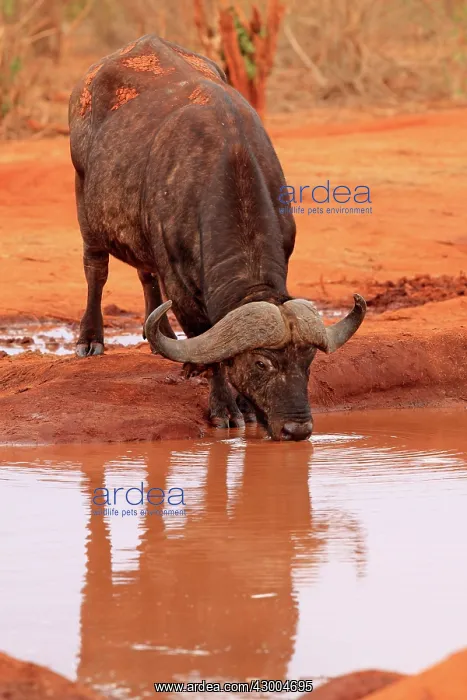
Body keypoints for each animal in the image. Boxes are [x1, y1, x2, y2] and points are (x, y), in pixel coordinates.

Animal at [69, 34, 366, 441]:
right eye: (260, 364)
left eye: (307, 360)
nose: (297, 428)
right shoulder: (179, 284)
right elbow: (208, 343)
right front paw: (224, 407)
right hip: (86, 208)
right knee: (96, 270)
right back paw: (90, 339)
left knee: (145, 273)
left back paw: (162, 337)